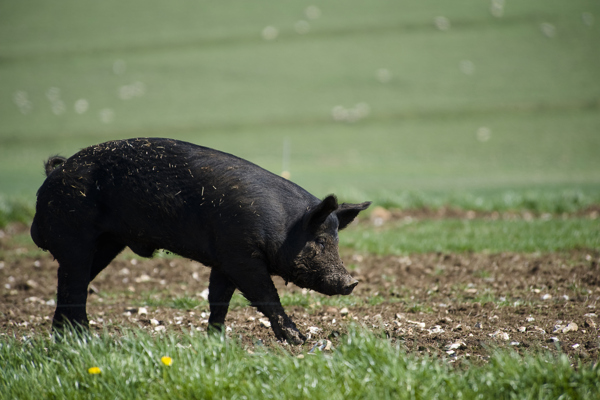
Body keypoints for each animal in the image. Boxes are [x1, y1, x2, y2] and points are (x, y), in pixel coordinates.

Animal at [34, 138, 370, 344]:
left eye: (336, 239)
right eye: (320, 241)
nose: (351, 282)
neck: (282, 227)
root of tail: (53, 174)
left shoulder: (224, 260)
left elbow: (218, 299)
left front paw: (216, 338)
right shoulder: (241, 256)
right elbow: (265, 295)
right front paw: (298, 339)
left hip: (106, 244)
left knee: (67, 288)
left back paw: (63, 337)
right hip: (75, 240)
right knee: (75, 288)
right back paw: (84, 339)